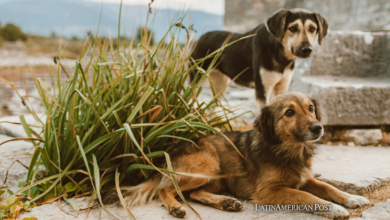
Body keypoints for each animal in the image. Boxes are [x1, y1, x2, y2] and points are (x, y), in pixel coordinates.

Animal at [120, 91, 370, 218]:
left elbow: (329, 187)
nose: (318, 128)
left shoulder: (305, 178)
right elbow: (308, 197)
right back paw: (175, 207)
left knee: (195, 193)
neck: (289, 151)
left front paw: (352, 198)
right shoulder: (269, 191)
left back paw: (226, 203)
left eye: (310, 108)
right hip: (208, 165)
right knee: (165, 189)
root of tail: (171, 152)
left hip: (217, 177)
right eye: (289, 112)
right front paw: (334, 209)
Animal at [190, 8, 328, 108]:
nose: (307, 50)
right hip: (196, 80)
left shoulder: (282, 88)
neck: (281, 55)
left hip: (220, 85)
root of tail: (199, 38)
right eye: (293, 28)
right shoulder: (263, 91)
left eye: (312, 29)